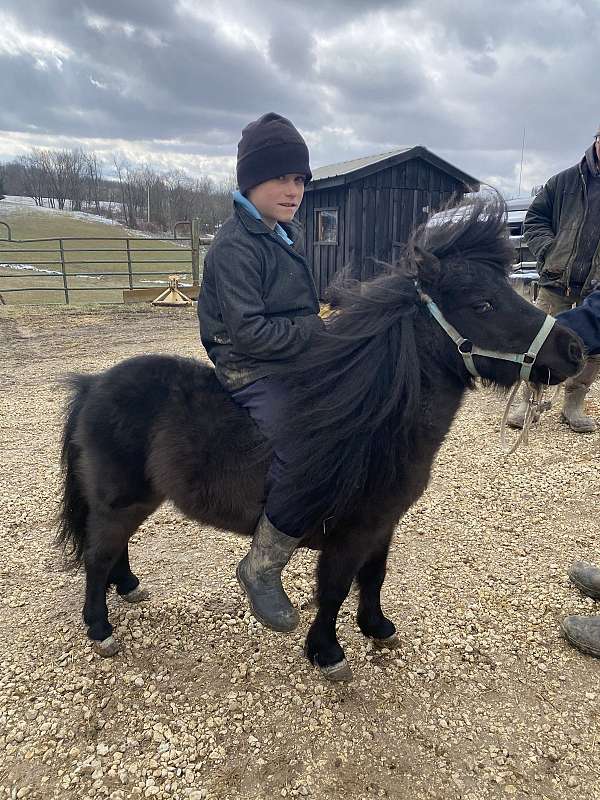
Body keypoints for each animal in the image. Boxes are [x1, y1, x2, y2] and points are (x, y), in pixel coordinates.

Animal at [58, 200, 584, 680]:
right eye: (483, 304)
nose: (575, 349)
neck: (376, 424)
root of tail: (93, 385)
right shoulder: (349, 534)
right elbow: (334, 588)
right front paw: (328, 653)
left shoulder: (382, 526)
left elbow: (374, 576)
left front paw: (377, 627)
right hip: (119, 499)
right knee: (98, 555)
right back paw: (100, 629)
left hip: (139, 499)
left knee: (115, 548)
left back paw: (128, 587)